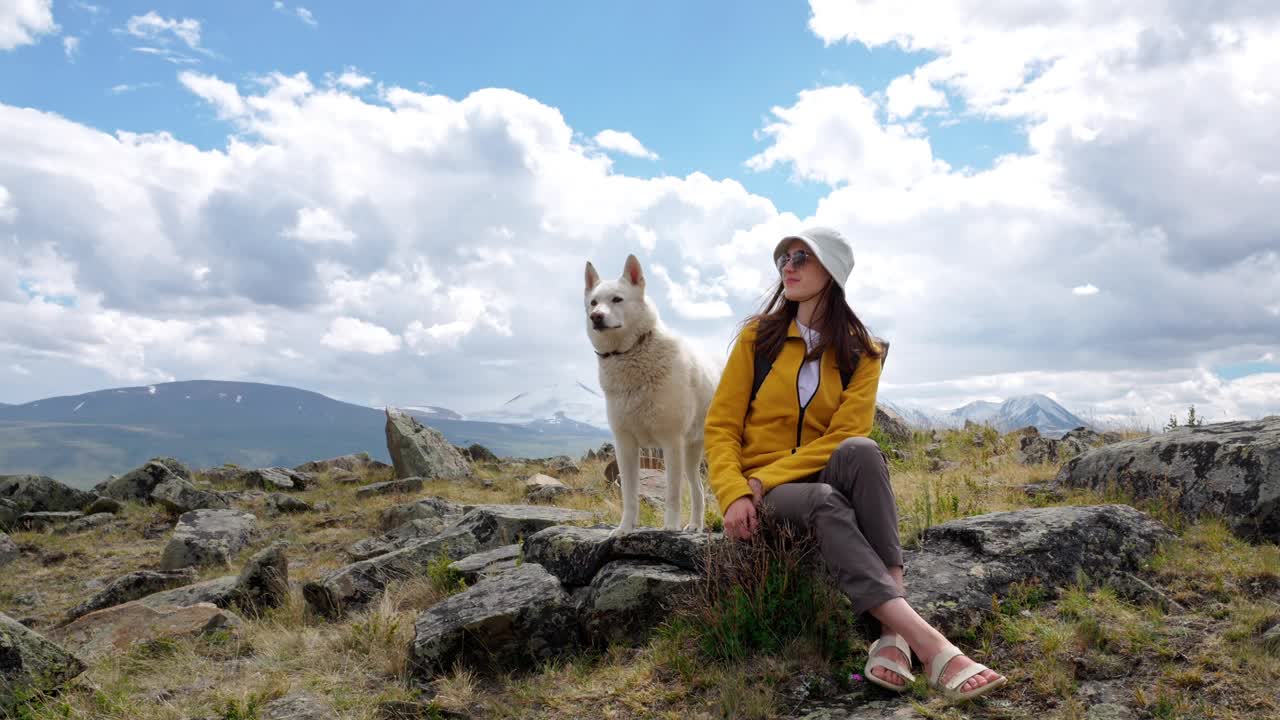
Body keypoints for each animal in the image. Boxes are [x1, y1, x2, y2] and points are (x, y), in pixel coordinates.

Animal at [586, 253, 716, 532]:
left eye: (617, 299)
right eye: (593, 302)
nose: (596, 317)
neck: (631, 352)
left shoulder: (671, 442)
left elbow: (672, 494)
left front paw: (670, 528)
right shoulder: (625, 445)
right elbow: (629, 495)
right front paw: (624, 529)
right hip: (692, 455)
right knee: (698, 490)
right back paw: (695, 525)